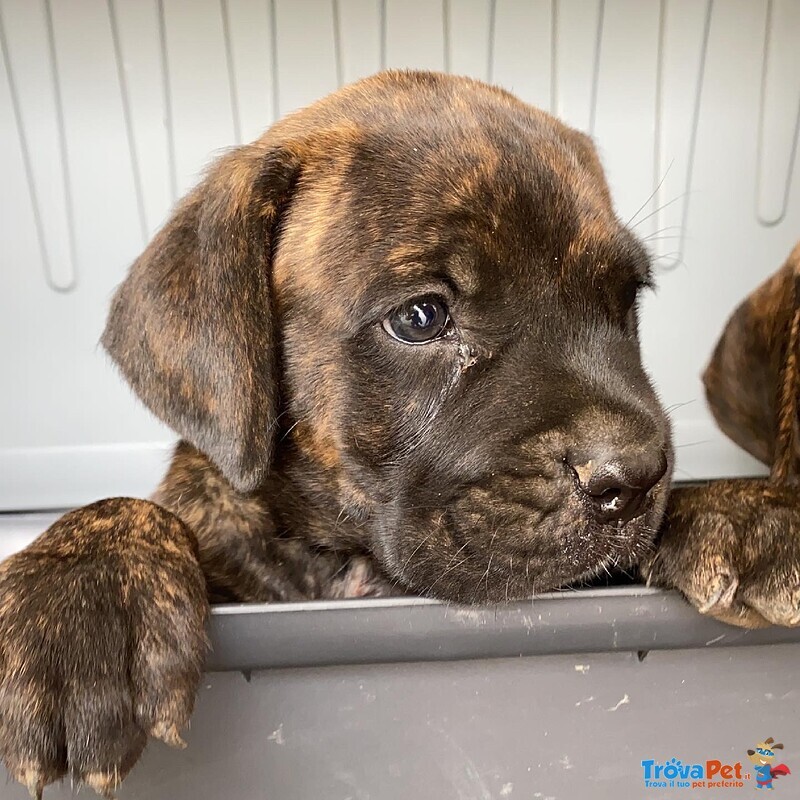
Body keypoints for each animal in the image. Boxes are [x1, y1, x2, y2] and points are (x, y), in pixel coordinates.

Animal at [1, 72, 800, 796]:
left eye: (625, 301)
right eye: (421, 317)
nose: (635, 475)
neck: (343, 558)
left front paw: (740, 512)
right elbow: (134, 508)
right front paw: (76, 605)